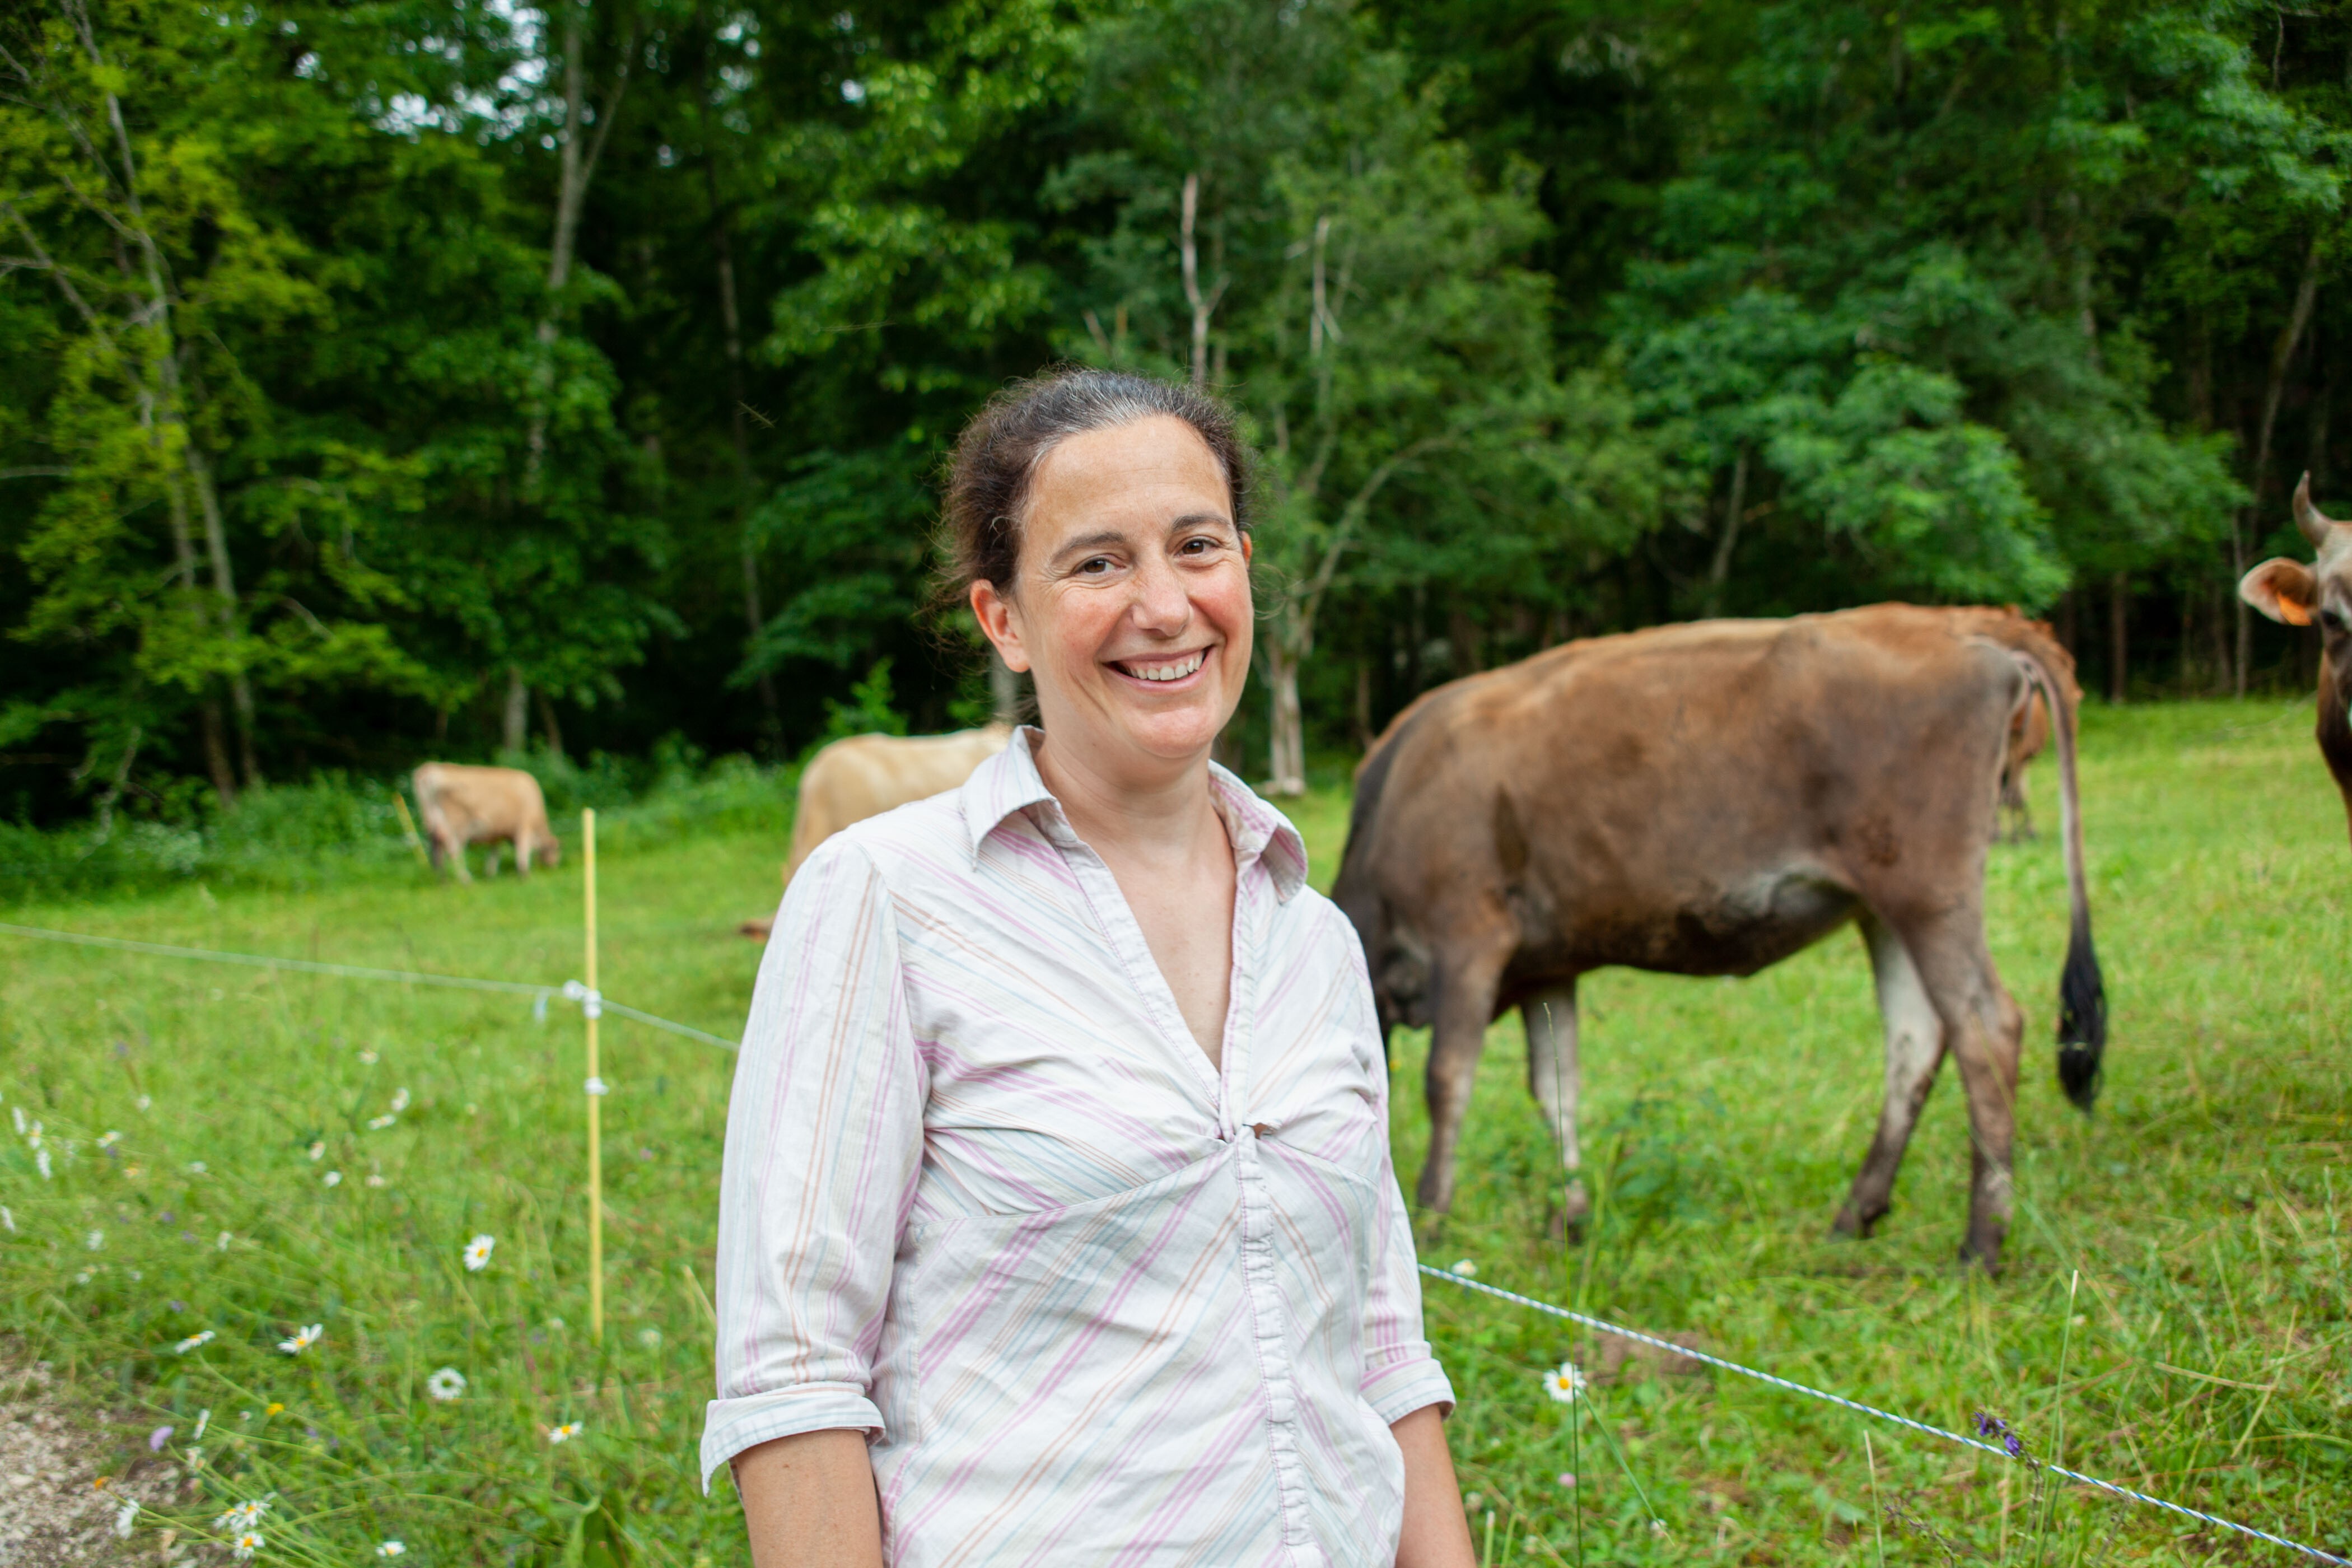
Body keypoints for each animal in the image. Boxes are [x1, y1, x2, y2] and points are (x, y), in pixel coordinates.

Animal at [414, 762, 559, 884]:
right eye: (555, 850)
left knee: (436, 850)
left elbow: (495, 852)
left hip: (431, 822)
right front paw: (524, 875)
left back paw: (442, 880)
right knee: (454, 850)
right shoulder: (524, 826)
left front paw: (490, 874)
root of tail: (431, 768)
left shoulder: (497, 832)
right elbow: (523, 850)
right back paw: (465, 879)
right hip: (456, 827)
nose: (553, 866)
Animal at [1336, 606, 2107, 1278]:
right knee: (1915, 1040)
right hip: (1884, 911)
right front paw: (1572, 1218)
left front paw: (1432, 1216)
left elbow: (1448, 1080)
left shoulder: (1469, 939)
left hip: (1928, 894)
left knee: (1988, 1030)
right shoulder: (1547, 968)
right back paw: (1854, 1215)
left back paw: (1980, 1248)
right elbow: (1558, 1088)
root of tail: (1958, 623)